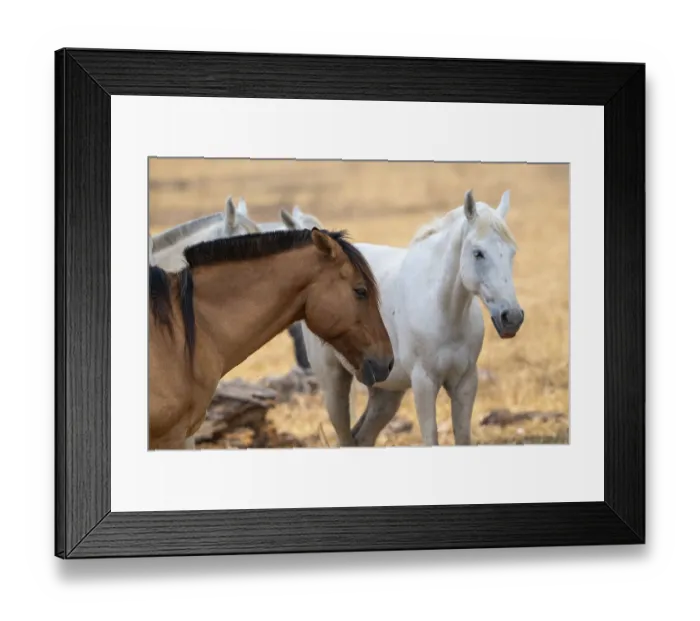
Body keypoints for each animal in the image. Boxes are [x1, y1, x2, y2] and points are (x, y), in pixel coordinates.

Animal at [301, 190, 524, 447]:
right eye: (478, 253)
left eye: (512, 253)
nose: (512, 317)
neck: (443, 312)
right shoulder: (424, 383)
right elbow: (430, 438)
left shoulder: (465, 382)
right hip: (333, 382)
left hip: (386, 393)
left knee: (363, 437)